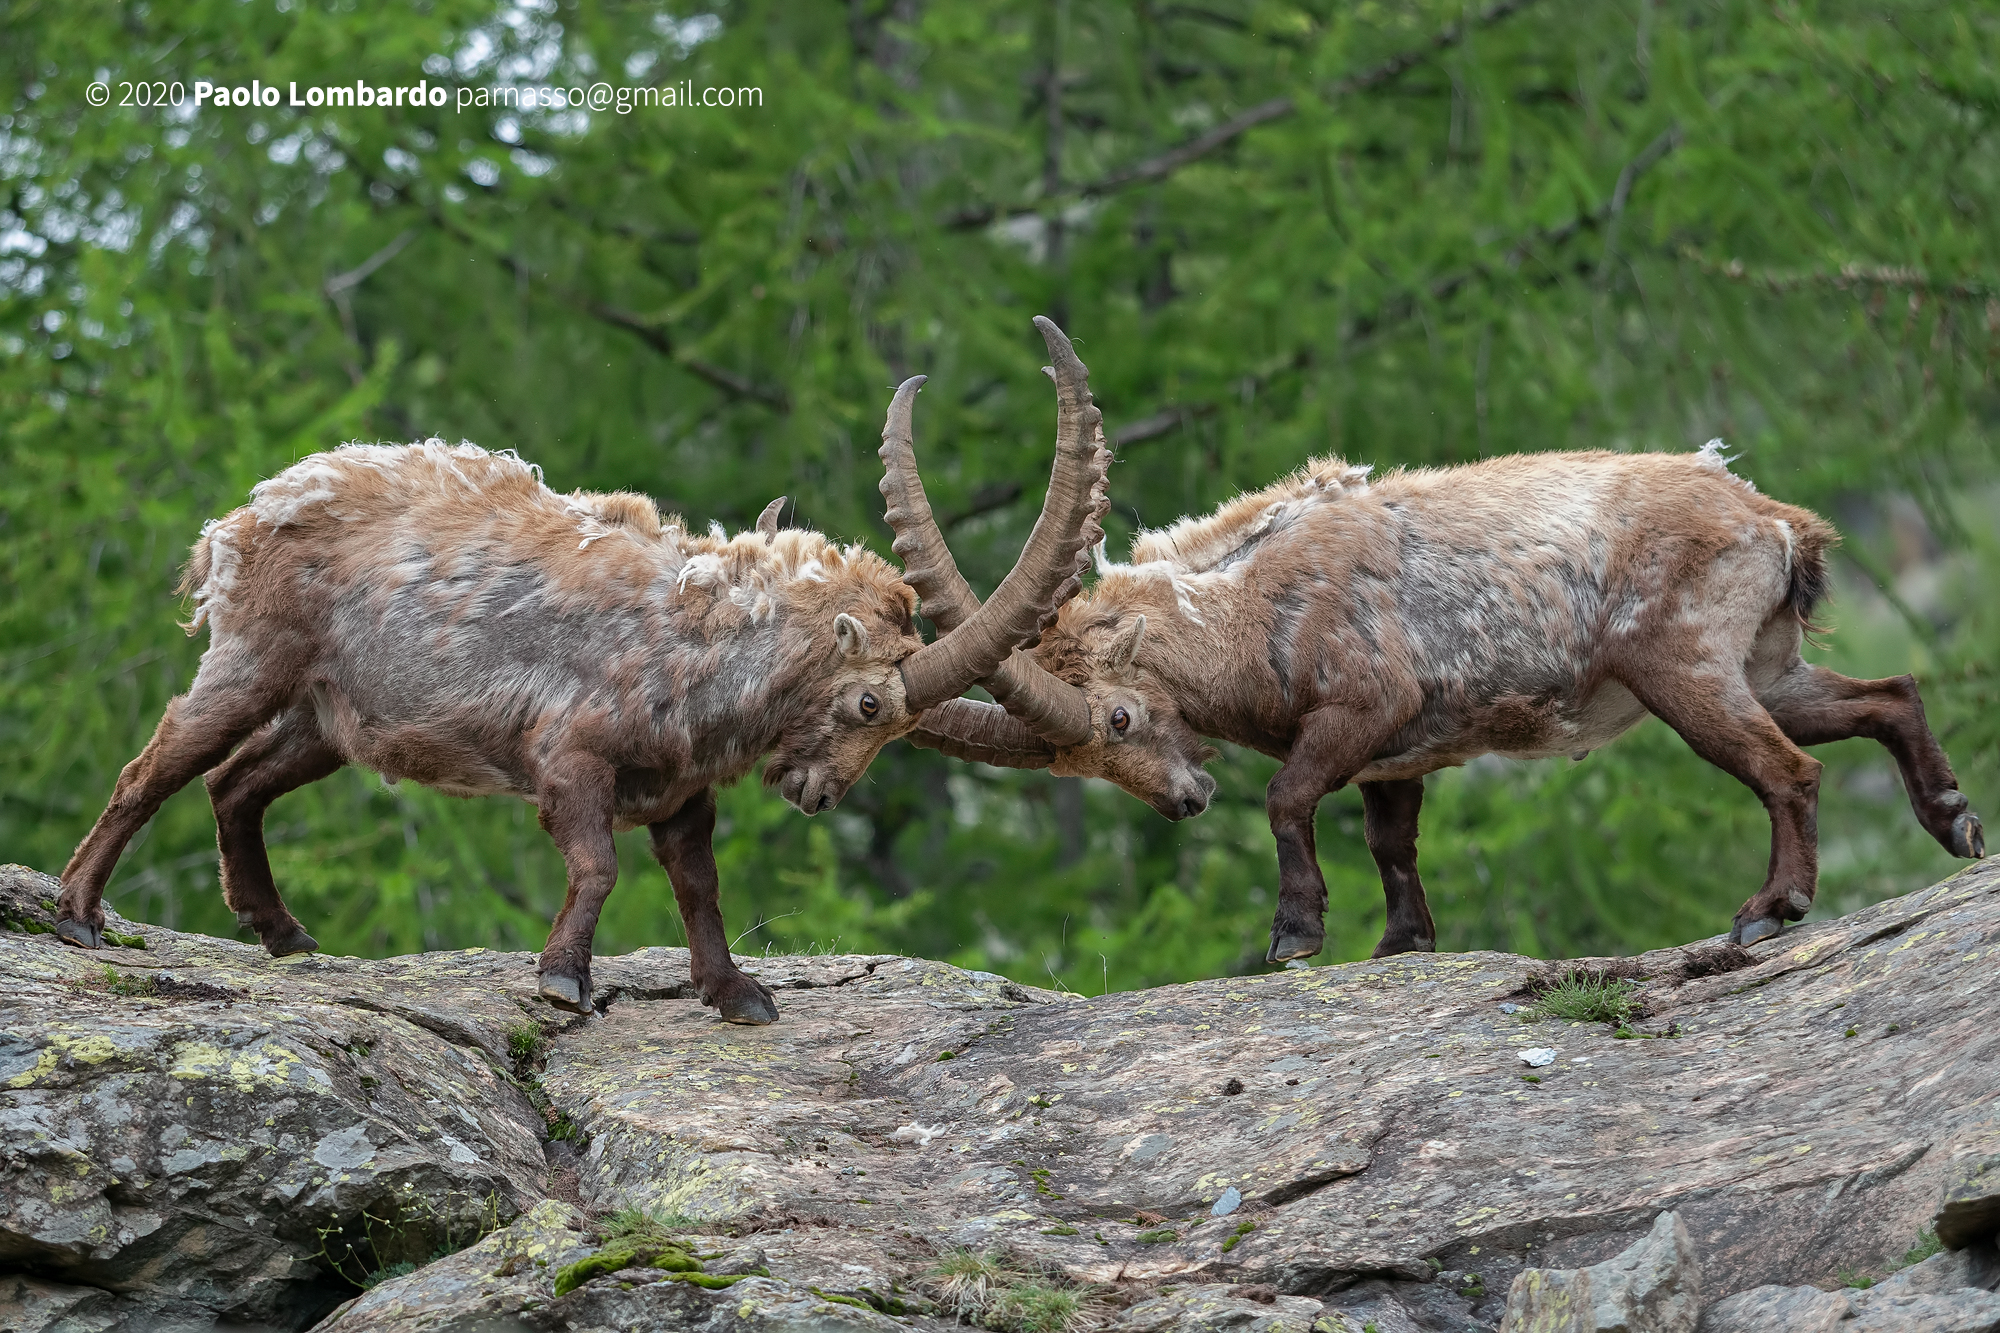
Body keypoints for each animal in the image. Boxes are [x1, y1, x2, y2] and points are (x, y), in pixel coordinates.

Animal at [55, 318, 1112, 1023]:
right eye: (866, 702)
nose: (817, 796)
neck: (705, 643)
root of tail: (242, 519)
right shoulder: (569, 760)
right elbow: (597, 864)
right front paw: (564, 978)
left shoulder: (682, 793)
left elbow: (700, 885)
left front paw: (736, 992)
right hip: (255, 660)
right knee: (158, 763)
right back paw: (78, 914)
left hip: (330, 719)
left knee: (236, 782)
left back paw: (280, 929)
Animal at [908, 441, 1986, 958]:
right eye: (1077, 758)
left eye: (1121, 717)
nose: (1185, 801)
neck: (1247, 611)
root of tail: (1773, 521)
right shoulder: (1397, 757)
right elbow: (1391, 843)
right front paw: (1401, 942)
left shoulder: (1364, 707)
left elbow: (1289, 799)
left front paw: (1295, 933)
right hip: (1764, 665)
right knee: (1886, 694)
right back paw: (1955, 821)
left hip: (1683, 668)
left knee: (1788, 768)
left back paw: (1770, 908)